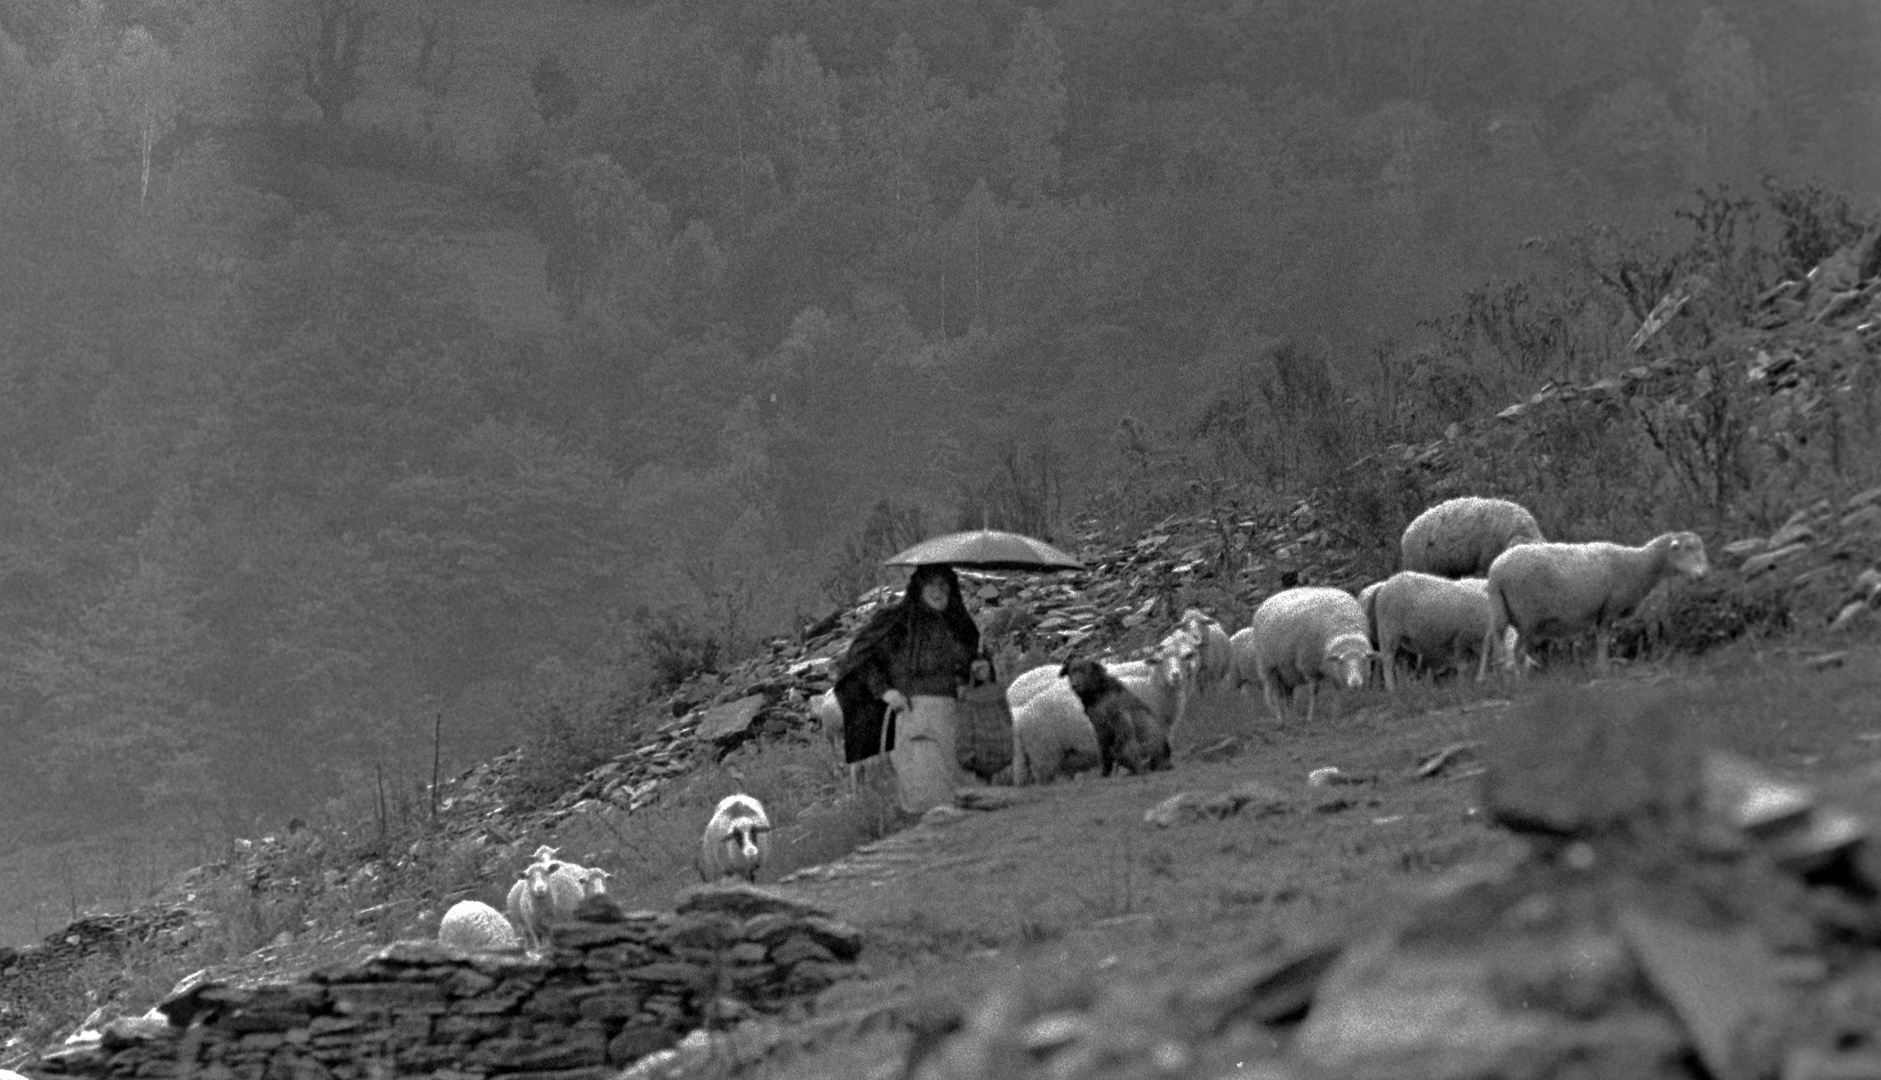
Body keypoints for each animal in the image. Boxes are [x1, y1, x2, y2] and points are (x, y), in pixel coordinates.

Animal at [1226, 587, 1376, 733]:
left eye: (1364, 660)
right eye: (1342, 661)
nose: (1355, 684)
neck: (1343, 627)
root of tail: (1268, 600)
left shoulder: (1334, 671)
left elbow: (1337, 693)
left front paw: (1336, 715)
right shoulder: (1310, 667)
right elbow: (1313, 693)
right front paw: (1310, 718)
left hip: (1287, 673)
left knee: (1288, 696)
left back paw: (1291, 718)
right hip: (1269, 667)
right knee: (1274, 696)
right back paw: (1280, 721)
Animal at [1474, 530, 1715, 681]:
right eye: (1688, 548)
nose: (1704, 575)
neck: (1638, 565)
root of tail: (1497, 571)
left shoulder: (1602, 612)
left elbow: (1601, 638)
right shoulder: (1608, 609)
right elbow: (1603, 639)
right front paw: (1603, 668)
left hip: (1500, 610)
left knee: (1499, 645)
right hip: (1527, 617)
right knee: (1518, 651)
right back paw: (1520, 681)